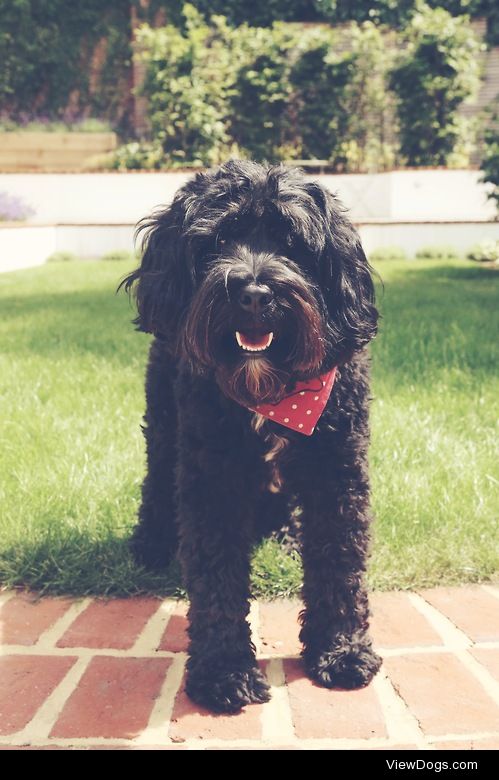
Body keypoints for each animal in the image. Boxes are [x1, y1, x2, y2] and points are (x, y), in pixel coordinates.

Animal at [121, 158, 382, 712]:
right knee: (157, 481)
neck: (271, 386)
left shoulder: (337, 470)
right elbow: (216, 576)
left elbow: (339, 560)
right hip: (165, 424)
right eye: (218, 240)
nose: (256, 294)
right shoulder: (211, 474)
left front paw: (342, 651)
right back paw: (153, 544)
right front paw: (224, 672)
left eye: (292, 243)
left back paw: (285, 538)